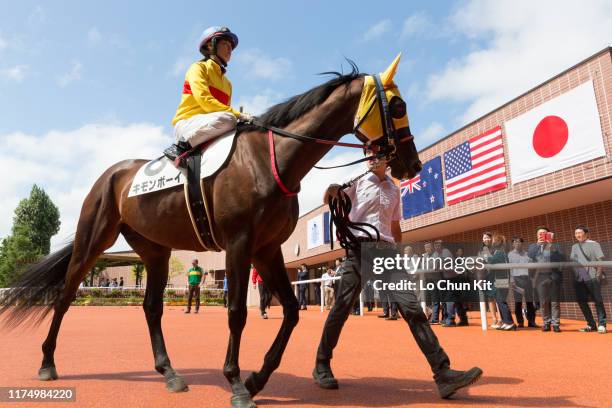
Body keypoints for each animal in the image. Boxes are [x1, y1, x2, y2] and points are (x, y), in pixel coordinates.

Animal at [1, 54, 420, 408]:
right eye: (398, 107)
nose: (412, 164)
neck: (269, 161)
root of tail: (112, 174)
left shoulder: (267, 249)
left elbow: (290, 311)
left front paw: (256, 378)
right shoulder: (239, 244)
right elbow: (236, 312)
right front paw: (236, 383)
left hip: (155, 249)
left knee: (151, 307)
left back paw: (170, 373)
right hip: (94, 239)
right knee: (64, 298)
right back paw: (47, 363)